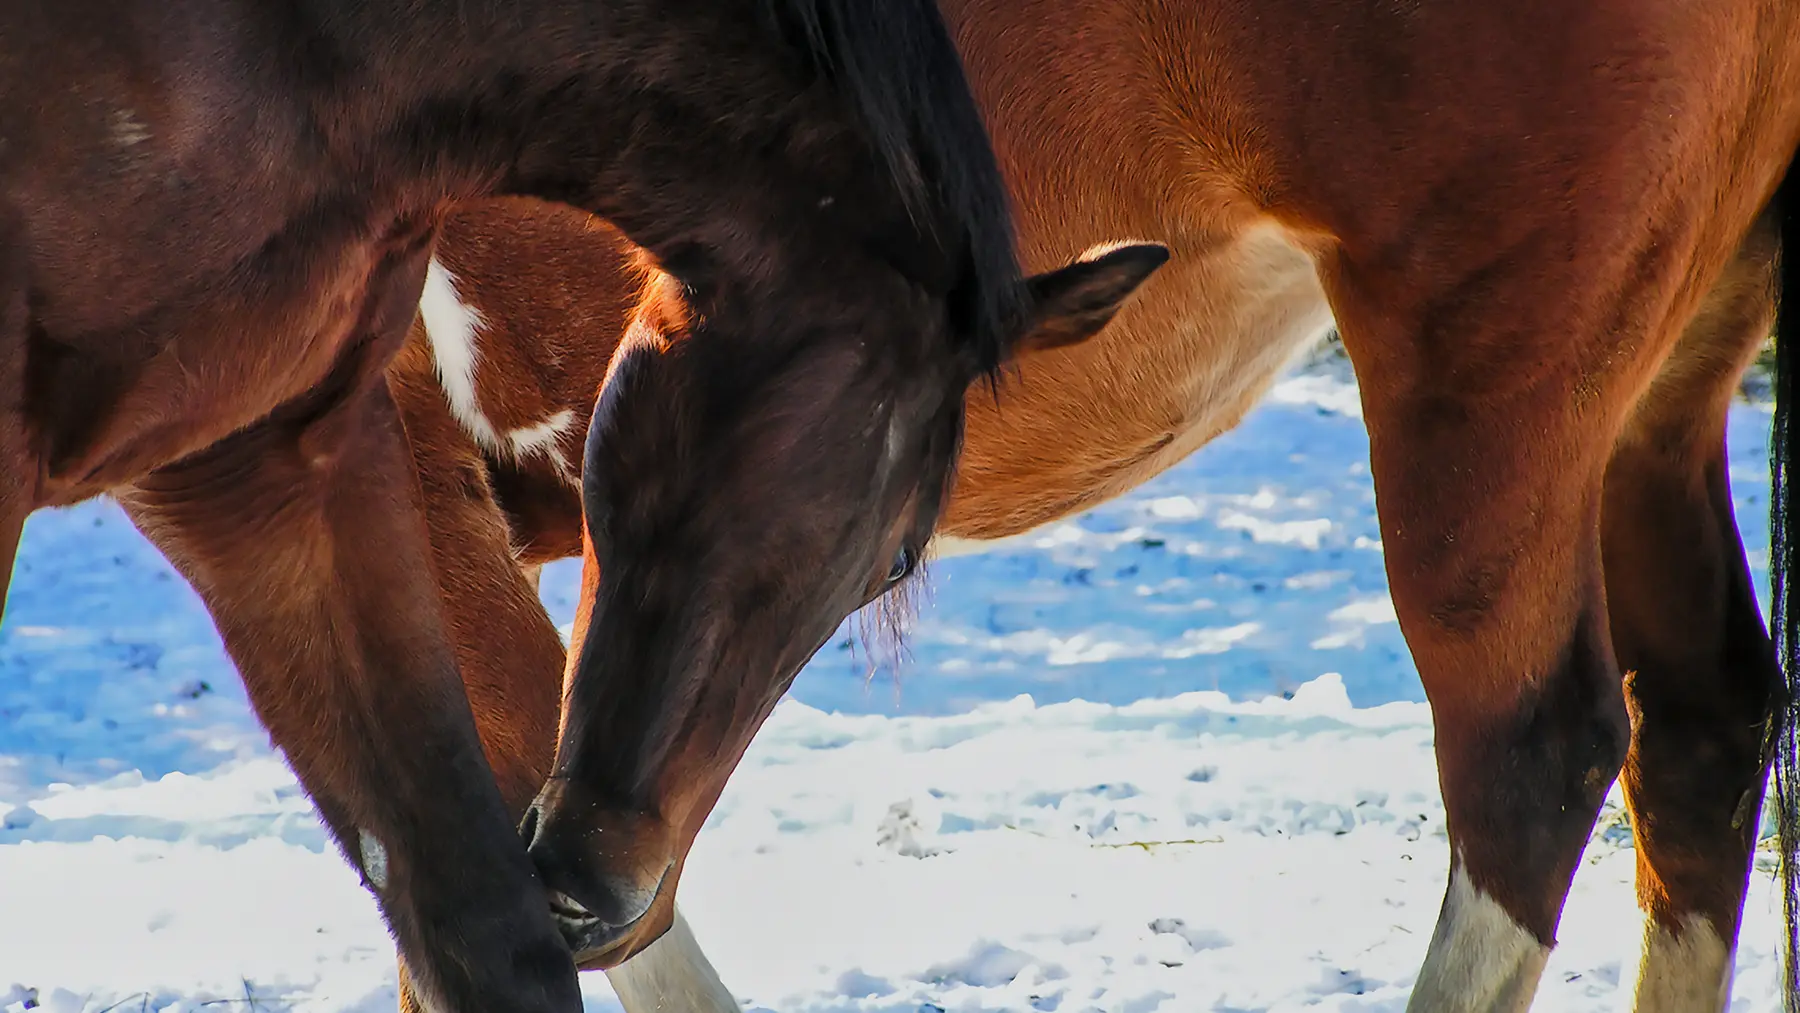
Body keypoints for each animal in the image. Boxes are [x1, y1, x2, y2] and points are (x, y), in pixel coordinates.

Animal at [387, 1, 1792, 1013]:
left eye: (884, 556)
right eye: (605, 490)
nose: (587, 878)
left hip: (1492, 367)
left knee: (1531, 754)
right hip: (1657, 386)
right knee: (1704, 721)